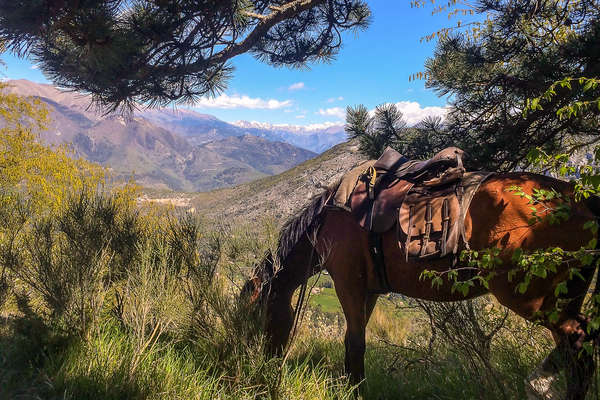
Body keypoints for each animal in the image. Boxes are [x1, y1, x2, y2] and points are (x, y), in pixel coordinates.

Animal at [243, 173, 600, 400]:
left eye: (259, 314)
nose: (261, 361)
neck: (327, 221)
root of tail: (579, 198)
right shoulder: (369, 292)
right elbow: (355, 341)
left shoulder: (348, 284)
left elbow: (354, 343)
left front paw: (355, 390)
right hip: (564, 296)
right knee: (576, 347)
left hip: (531, 298)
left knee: (579, 346)